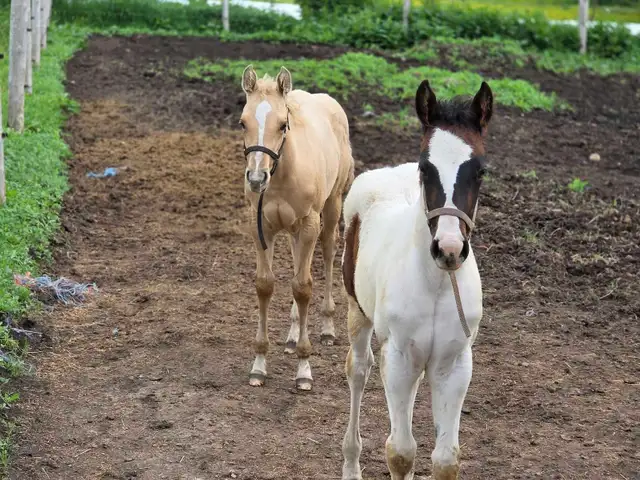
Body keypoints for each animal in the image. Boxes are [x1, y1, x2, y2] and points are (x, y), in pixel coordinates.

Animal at [239, 65, 354, 391]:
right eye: (242, 123)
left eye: (282, 125)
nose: (256, 178)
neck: (281, 174)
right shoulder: (260, 225)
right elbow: (265, 285)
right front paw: (258, 365)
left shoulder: (309, 224)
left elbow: (303, 287)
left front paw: (304, 368)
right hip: (292, 229)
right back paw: (291, 337)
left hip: (331, 207)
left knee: (329, 252)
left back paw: (327, 328)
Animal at [340, 79, 493, 479]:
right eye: (426, 169)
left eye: (480, 171)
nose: (449, 248)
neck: (436, 284)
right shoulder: (398, 359)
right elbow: (401, 452)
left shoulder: (454, 364)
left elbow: (445, 459)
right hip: (357, 312)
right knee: (358, 371)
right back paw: (351, 463)